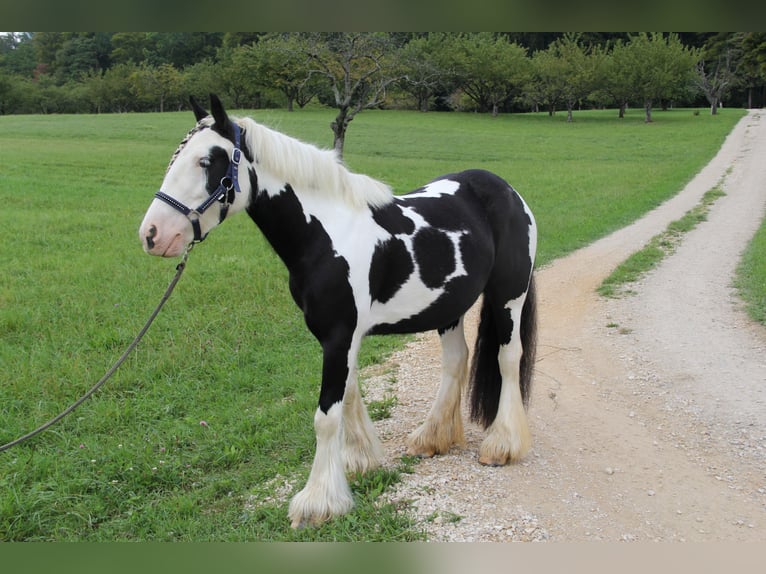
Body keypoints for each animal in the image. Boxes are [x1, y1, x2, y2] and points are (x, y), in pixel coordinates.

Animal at [138, 94, 540, 532]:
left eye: (207, 161)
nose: (153, 234)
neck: (326, 234)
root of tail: (506, 190)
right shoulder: (340, 337)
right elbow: (347, 396)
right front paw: (360, 462)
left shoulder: (339, 335)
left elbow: (326, 416)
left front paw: (318, 502)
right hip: (448, 306)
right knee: (456, 361)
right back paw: (431, 439)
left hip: (508, 297)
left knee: (507, 359)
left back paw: (502, 445)